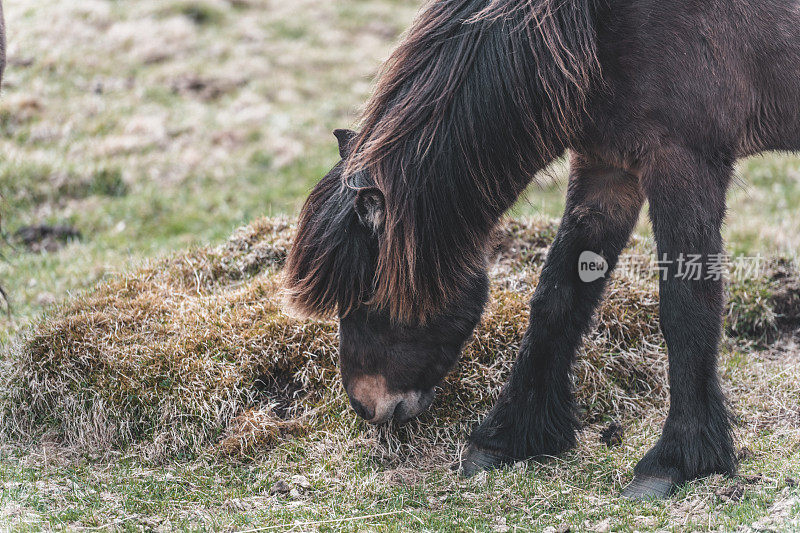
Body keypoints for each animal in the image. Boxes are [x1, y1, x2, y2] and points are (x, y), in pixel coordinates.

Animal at [282, 0, 800, 498]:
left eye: (368, 294)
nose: (365, 404)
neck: (604, 28)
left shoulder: (684, 163)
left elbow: (685, 311)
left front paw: (676, 460)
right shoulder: (607, 166)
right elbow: (558, 297)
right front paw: (507, 438)